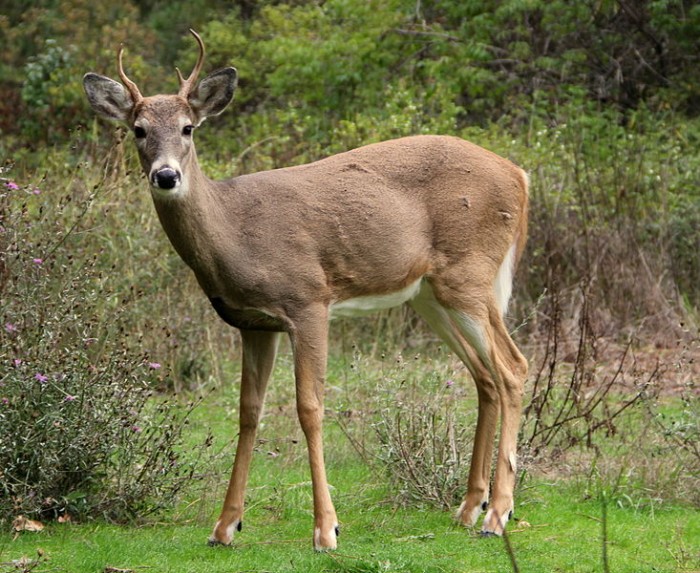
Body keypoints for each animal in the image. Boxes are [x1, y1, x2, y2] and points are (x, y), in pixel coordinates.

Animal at [82, 30, 528, 548]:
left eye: (189, 128)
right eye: (138, 129)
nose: (166, 175)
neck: (235, 231)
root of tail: (520, 176)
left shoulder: (308, 300)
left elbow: (309, 407)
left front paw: (326, 529)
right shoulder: (253, 323)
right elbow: (248, 411)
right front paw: (225, 526)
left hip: (469, 274)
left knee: (513, 368)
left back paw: (498, 514)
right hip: (430, 294)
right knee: (485, 377)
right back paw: (468, 509)